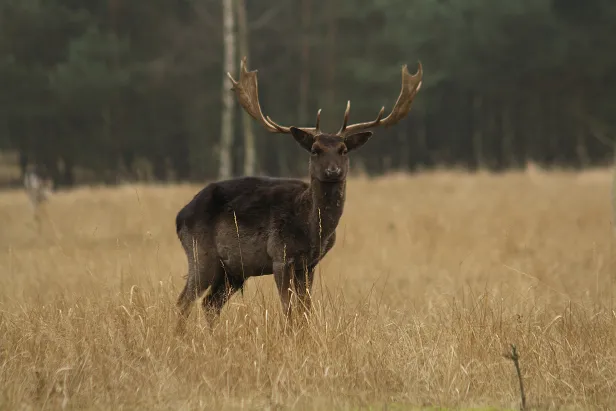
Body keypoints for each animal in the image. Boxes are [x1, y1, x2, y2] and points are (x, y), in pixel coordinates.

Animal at [176, 57, 422, 334]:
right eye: (315, 149)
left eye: (343, 149)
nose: (333, 171)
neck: (312, 229)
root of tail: (180, 216)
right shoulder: (280, 256)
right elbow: (288, 309)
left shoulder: (309, 264)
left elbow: (305, 309)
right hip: (200, 253)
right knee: (184, 301)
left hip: (233, 270)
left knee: (209, 304)